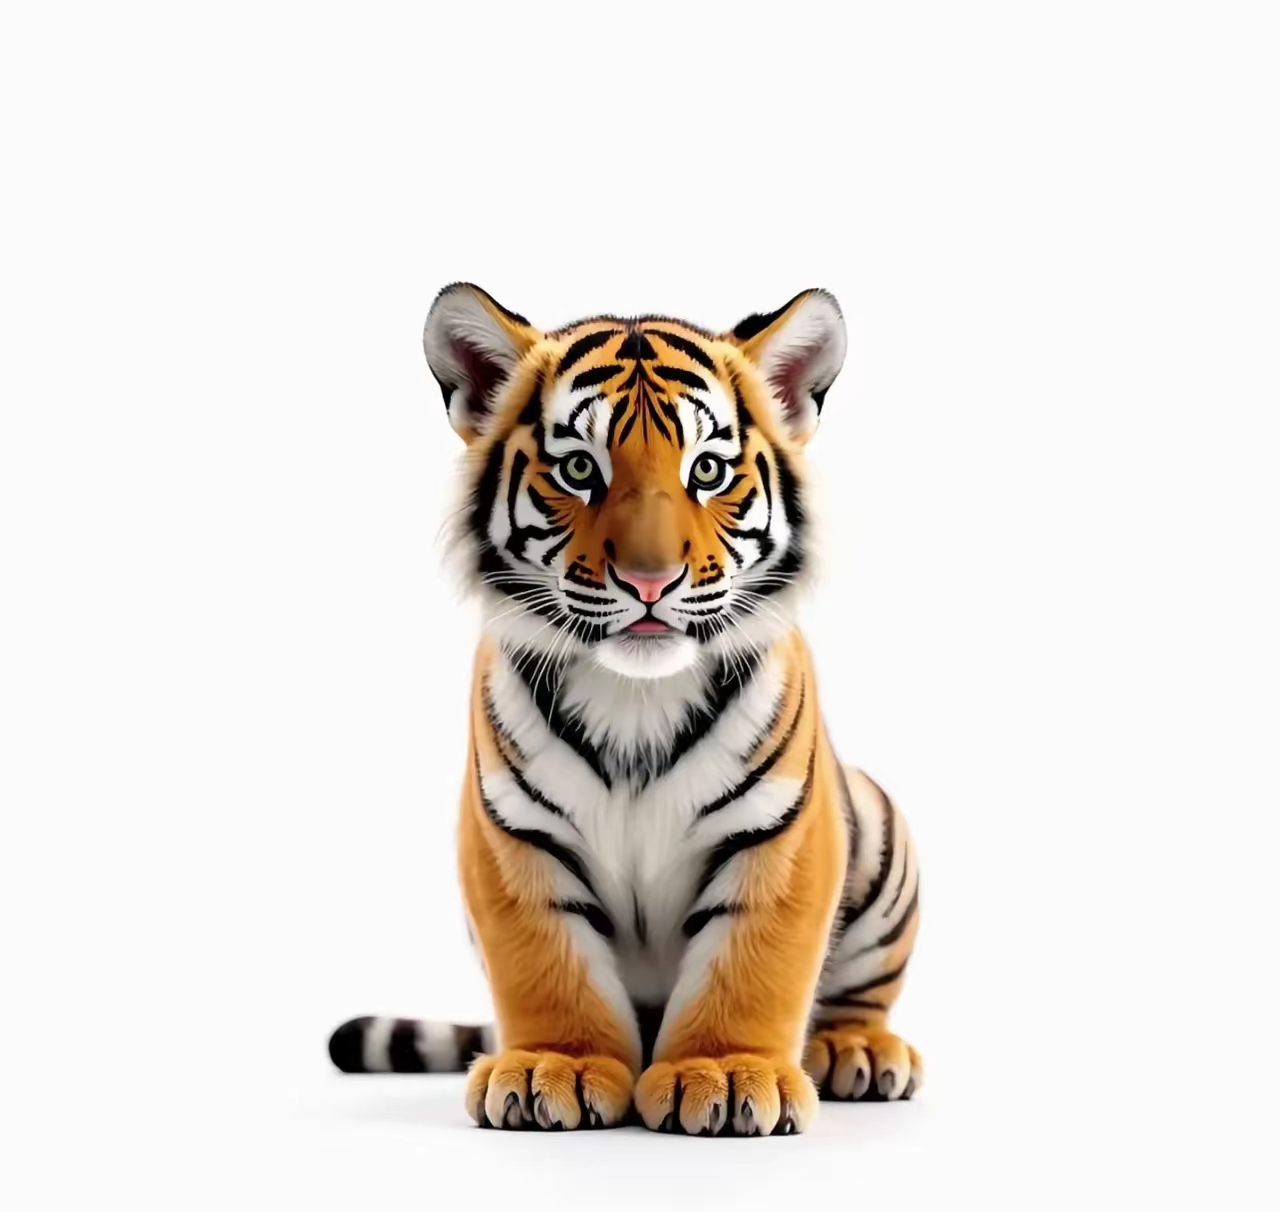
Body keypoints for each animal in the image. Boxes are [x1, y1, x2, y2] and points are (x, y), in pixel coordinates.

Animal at [328, 283, 922, 1135]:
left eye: (707, 470)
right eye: (580, 468)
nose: (650, 580)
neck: (639, 697)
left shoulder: (781, 834)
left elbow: (754, 964)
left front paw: (725, 1071)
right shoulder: (513, 837)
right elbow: (546, 961)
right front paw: (557, 1065)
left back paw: (855, 1051)